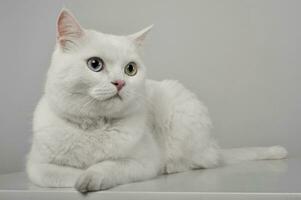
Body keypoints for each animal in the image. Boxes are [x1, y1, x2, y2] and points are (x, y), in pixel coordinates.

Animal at [27, 9, 288, 192]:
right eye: (95, 64)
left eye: (130, 69)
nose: (119, 83)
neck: (95, 127)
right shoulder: (36, 166)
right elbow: (62, 174)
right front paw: (80, 177)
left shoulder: (142, 162)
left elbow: (107, 166)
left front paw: (89, 176)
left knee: (204, 160)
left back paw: (171, 166)